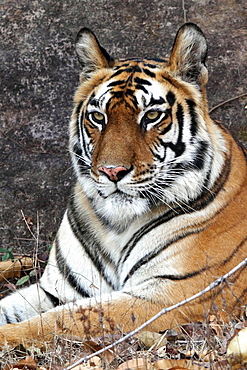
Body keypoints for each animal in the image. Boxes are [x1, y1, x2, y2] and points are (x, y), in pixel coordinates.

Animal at [0, 22, 247, 346]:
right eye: (97, 117)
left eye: (151, 115)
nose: (112, 171)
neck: (116, 225)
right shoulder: (57, 289)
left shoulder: (170, 296)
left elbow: (60, 321)